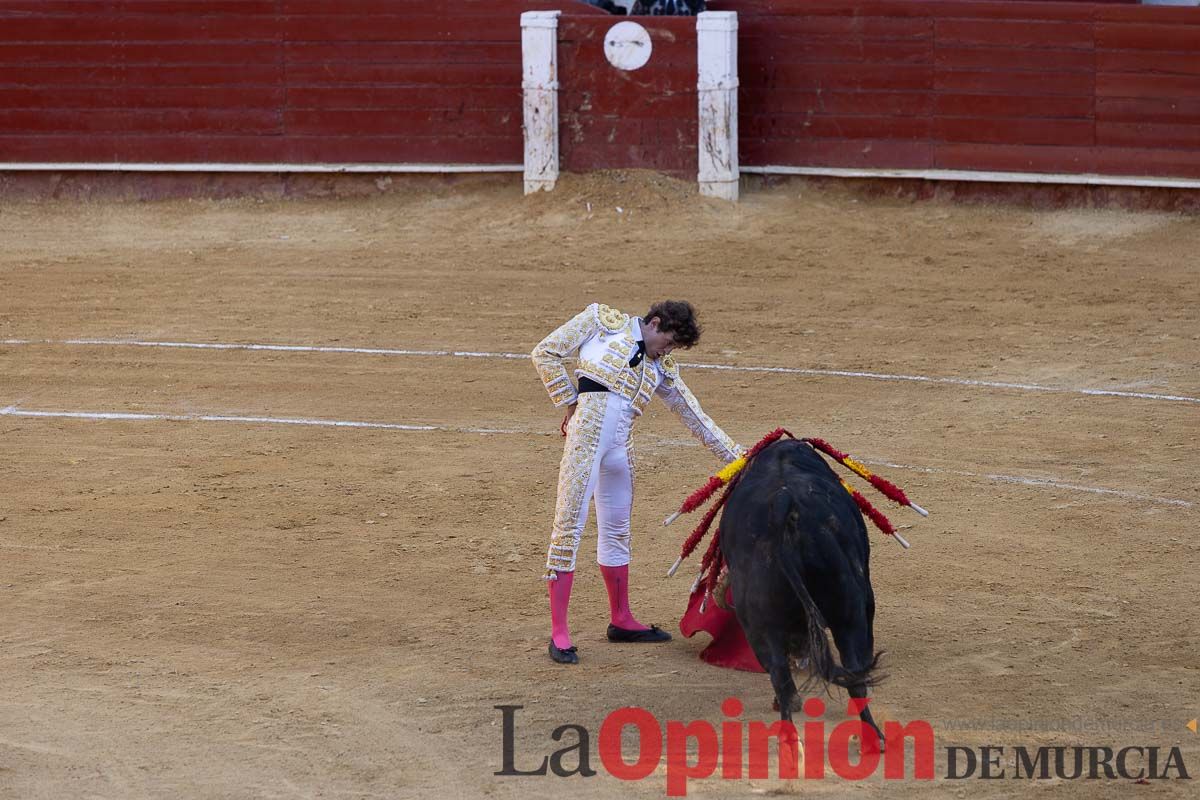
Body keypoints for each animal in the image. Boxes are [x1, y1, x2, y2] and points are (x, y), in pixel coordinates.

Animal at [715, 438, 888, 743]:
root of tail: (784, 505)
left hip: (760, 623)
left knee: (780, 676)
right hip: (849, 612)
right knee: (855, 672)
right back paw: (872, 738)